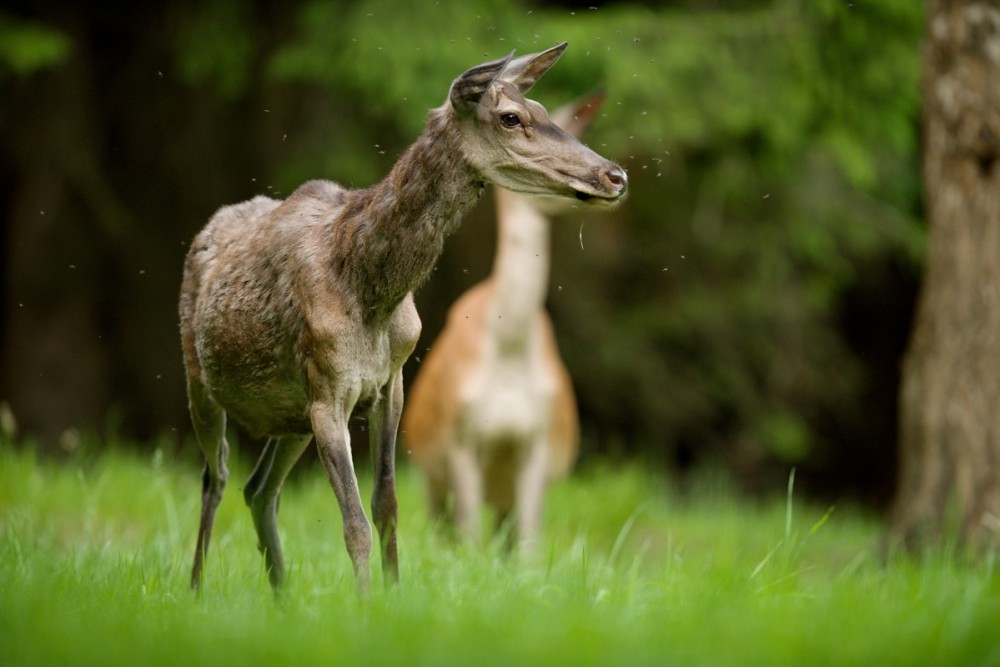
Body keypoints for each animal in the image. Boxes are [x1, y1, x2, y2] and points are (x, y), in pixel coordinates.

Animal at [402, 88, 612, 552]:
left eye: (576, 132)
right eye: (517, 124)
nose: (610, 177)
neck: (508, 352)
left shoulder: (537, 442)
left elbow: (530, 548)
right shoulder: (460, 438)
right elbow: (467, 538)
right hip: (428, 472)